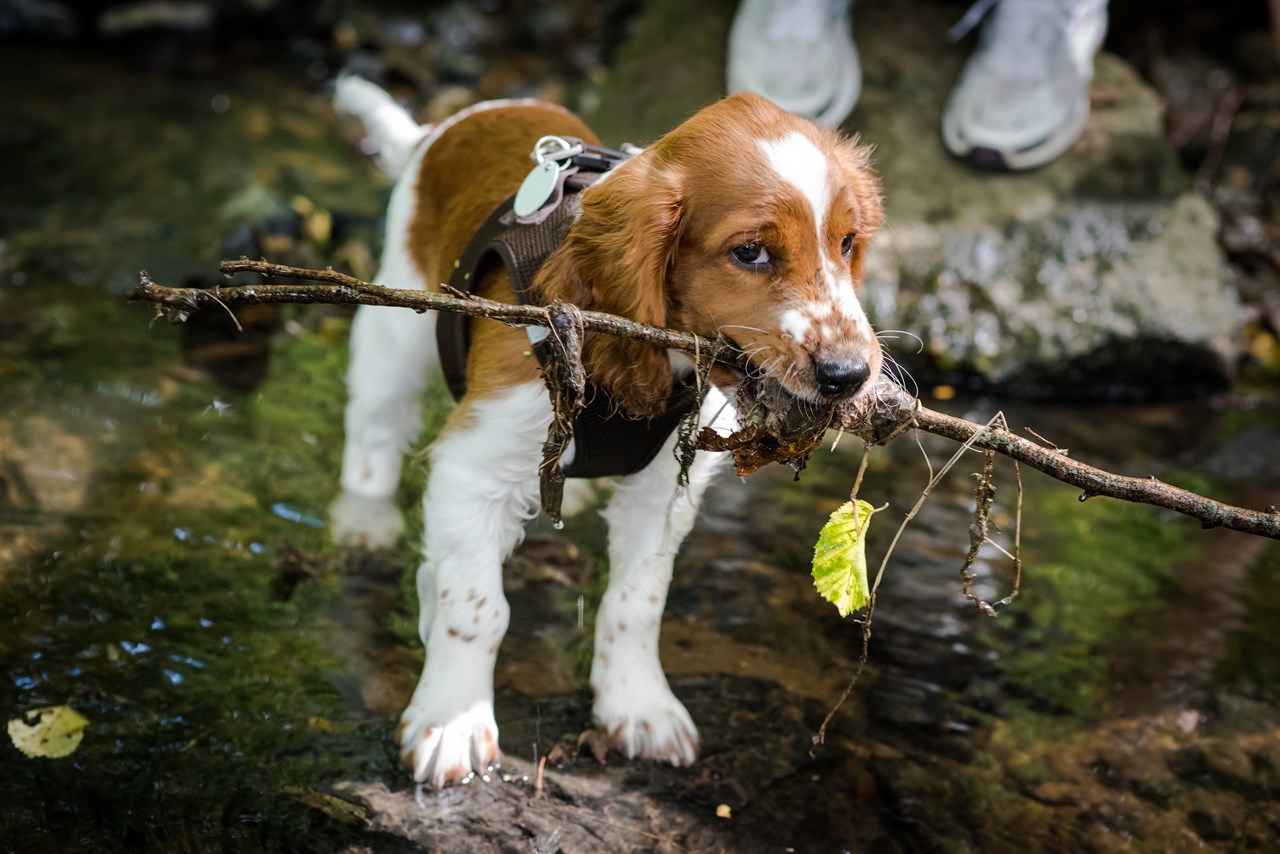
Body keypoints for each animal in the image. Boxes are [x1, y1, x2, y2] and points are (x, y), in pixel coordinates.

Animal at [332, 80, 880, 788]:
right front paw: (452, 722)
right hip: (396, 322)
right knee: (373, 423)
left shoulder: (663, 491)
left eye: (847, 243)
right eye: (750, 252)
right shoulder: (473, 469)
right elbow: (475, 607)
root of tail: (456, 122)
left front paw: (639, 707)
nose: (849, 375)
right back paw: (362, 519)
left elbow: (636, 600)